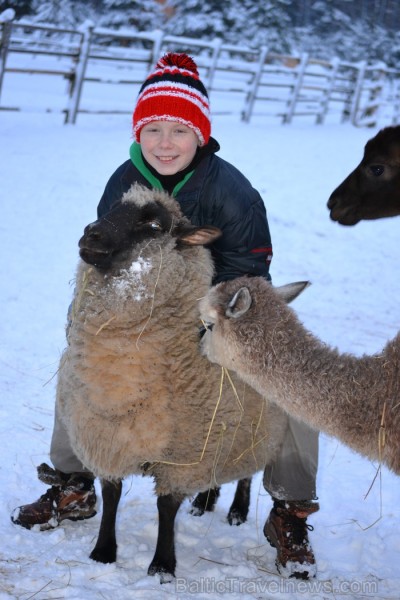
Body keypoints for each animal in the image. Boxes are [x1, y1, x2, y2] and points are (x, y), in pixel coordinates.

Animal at [56, 183, 288, 580]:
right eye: (113, 207)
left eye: (153, 225)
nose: (92, 234)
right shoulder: (106, 439)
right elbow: (111, 495)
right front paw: (103, 552)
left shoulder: (185, 456)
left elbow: (166, 508)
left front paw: (162, 565)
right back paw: (205, 501)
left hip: (254, 429)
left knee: (246, 475)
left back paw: (237, 510)